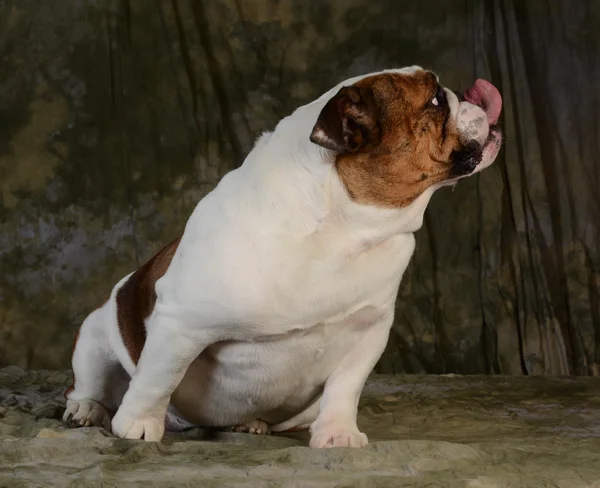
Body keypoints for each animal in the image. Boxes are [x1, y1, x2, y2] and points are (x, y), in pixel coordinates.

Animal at [62, 66, 502, 448]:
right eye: (435, 99)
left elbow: (346, 386)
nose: (468, 93)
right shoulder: (181, 323)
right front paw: (138, 425)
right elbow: (158, 375)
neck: (342, 226)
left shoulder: (370, 330)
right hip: (95, 337)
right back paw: (87, 410)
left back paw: (251, 424)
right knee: (89, 383)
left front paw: (338, 434)